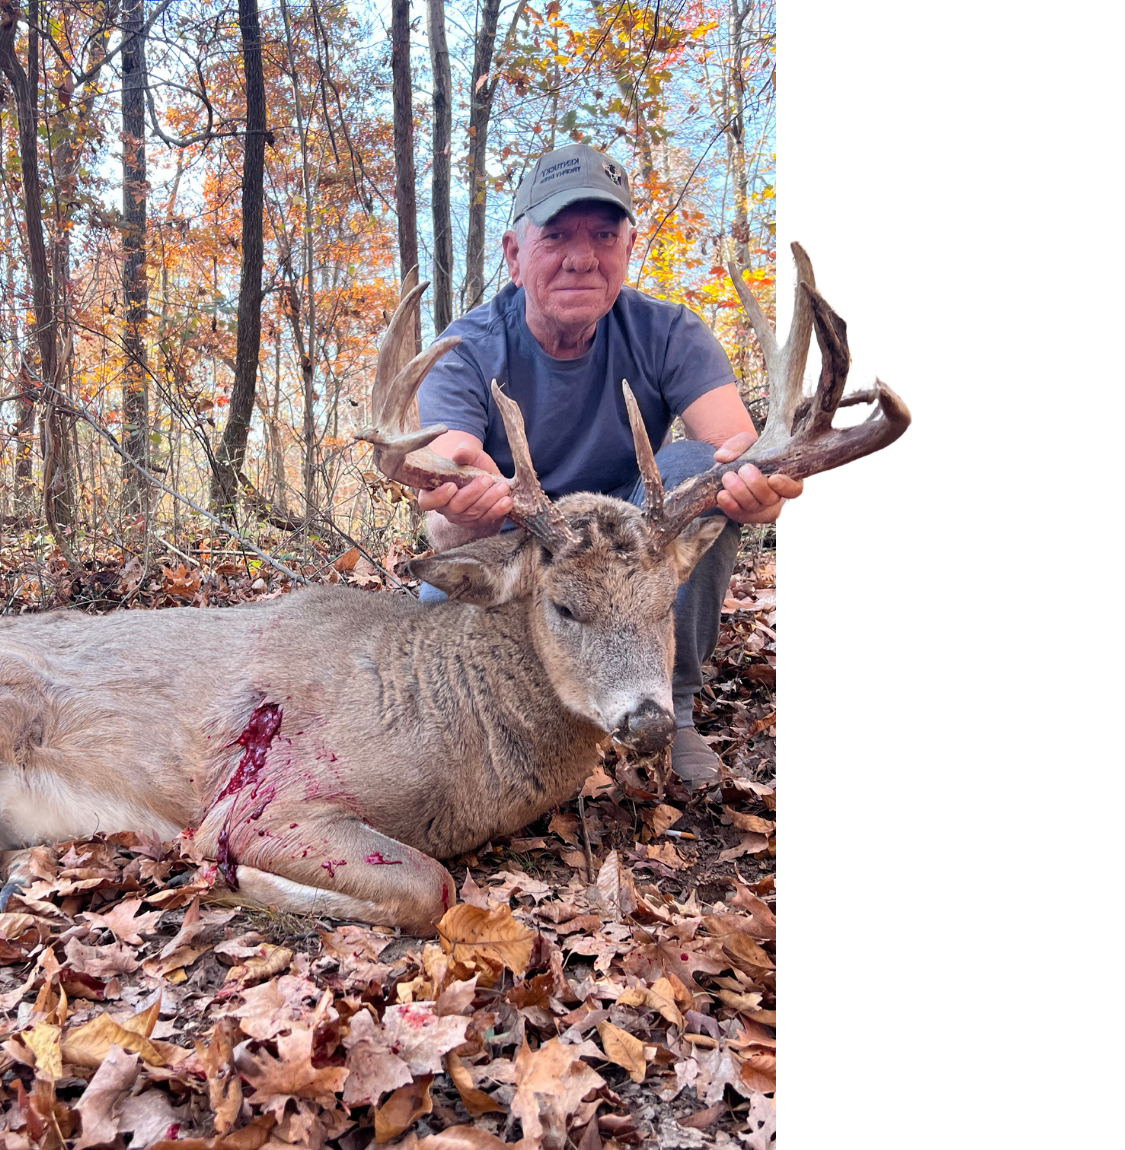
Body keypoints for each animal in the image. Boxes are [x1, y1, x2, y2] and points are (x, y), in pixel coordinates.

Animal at [0, 243, 910, 936]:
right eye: (562, 606)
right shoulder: (266, 800)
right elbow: (428, 885)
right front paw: (232, 879)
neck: (452, 719)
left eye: (662, 608)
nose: (647, 721)